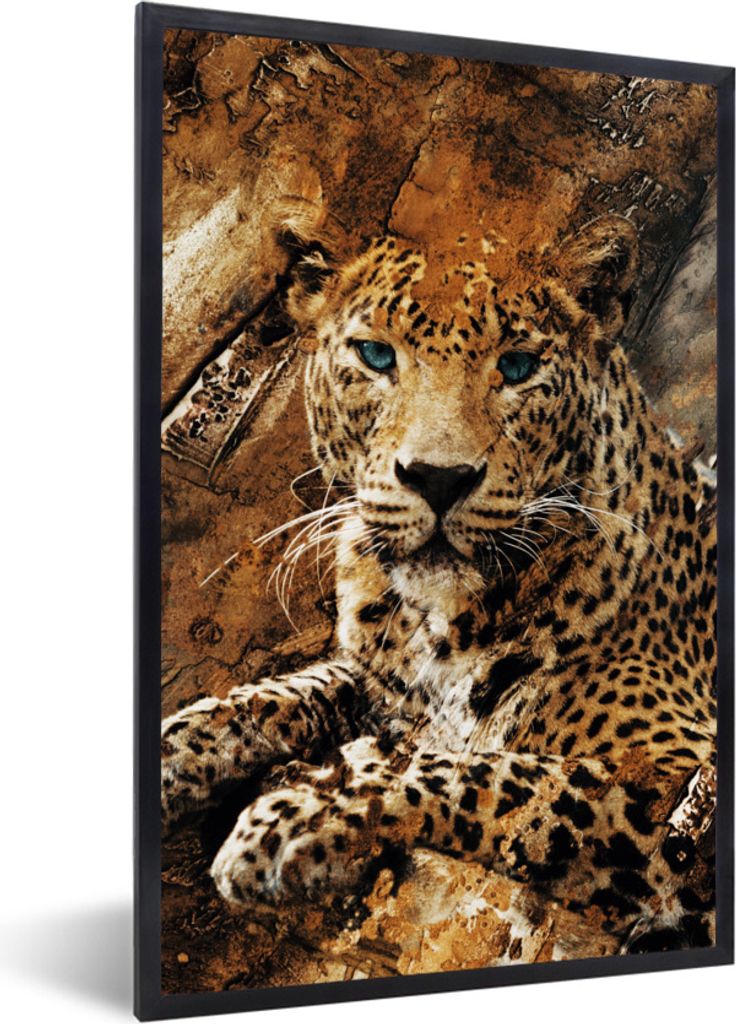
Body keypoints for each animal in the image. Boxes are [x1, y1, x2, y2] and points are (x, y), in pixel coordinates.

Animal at [161, 215, 717, 955]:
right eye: (375, 355)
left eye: (518, 366)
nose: (438, 477)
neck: (442, 624)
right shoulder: (378, 679)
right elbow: (271, 697)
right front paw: (173, 749)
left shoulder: (681, 785)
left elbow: (500, 777)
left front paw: (294, 816)